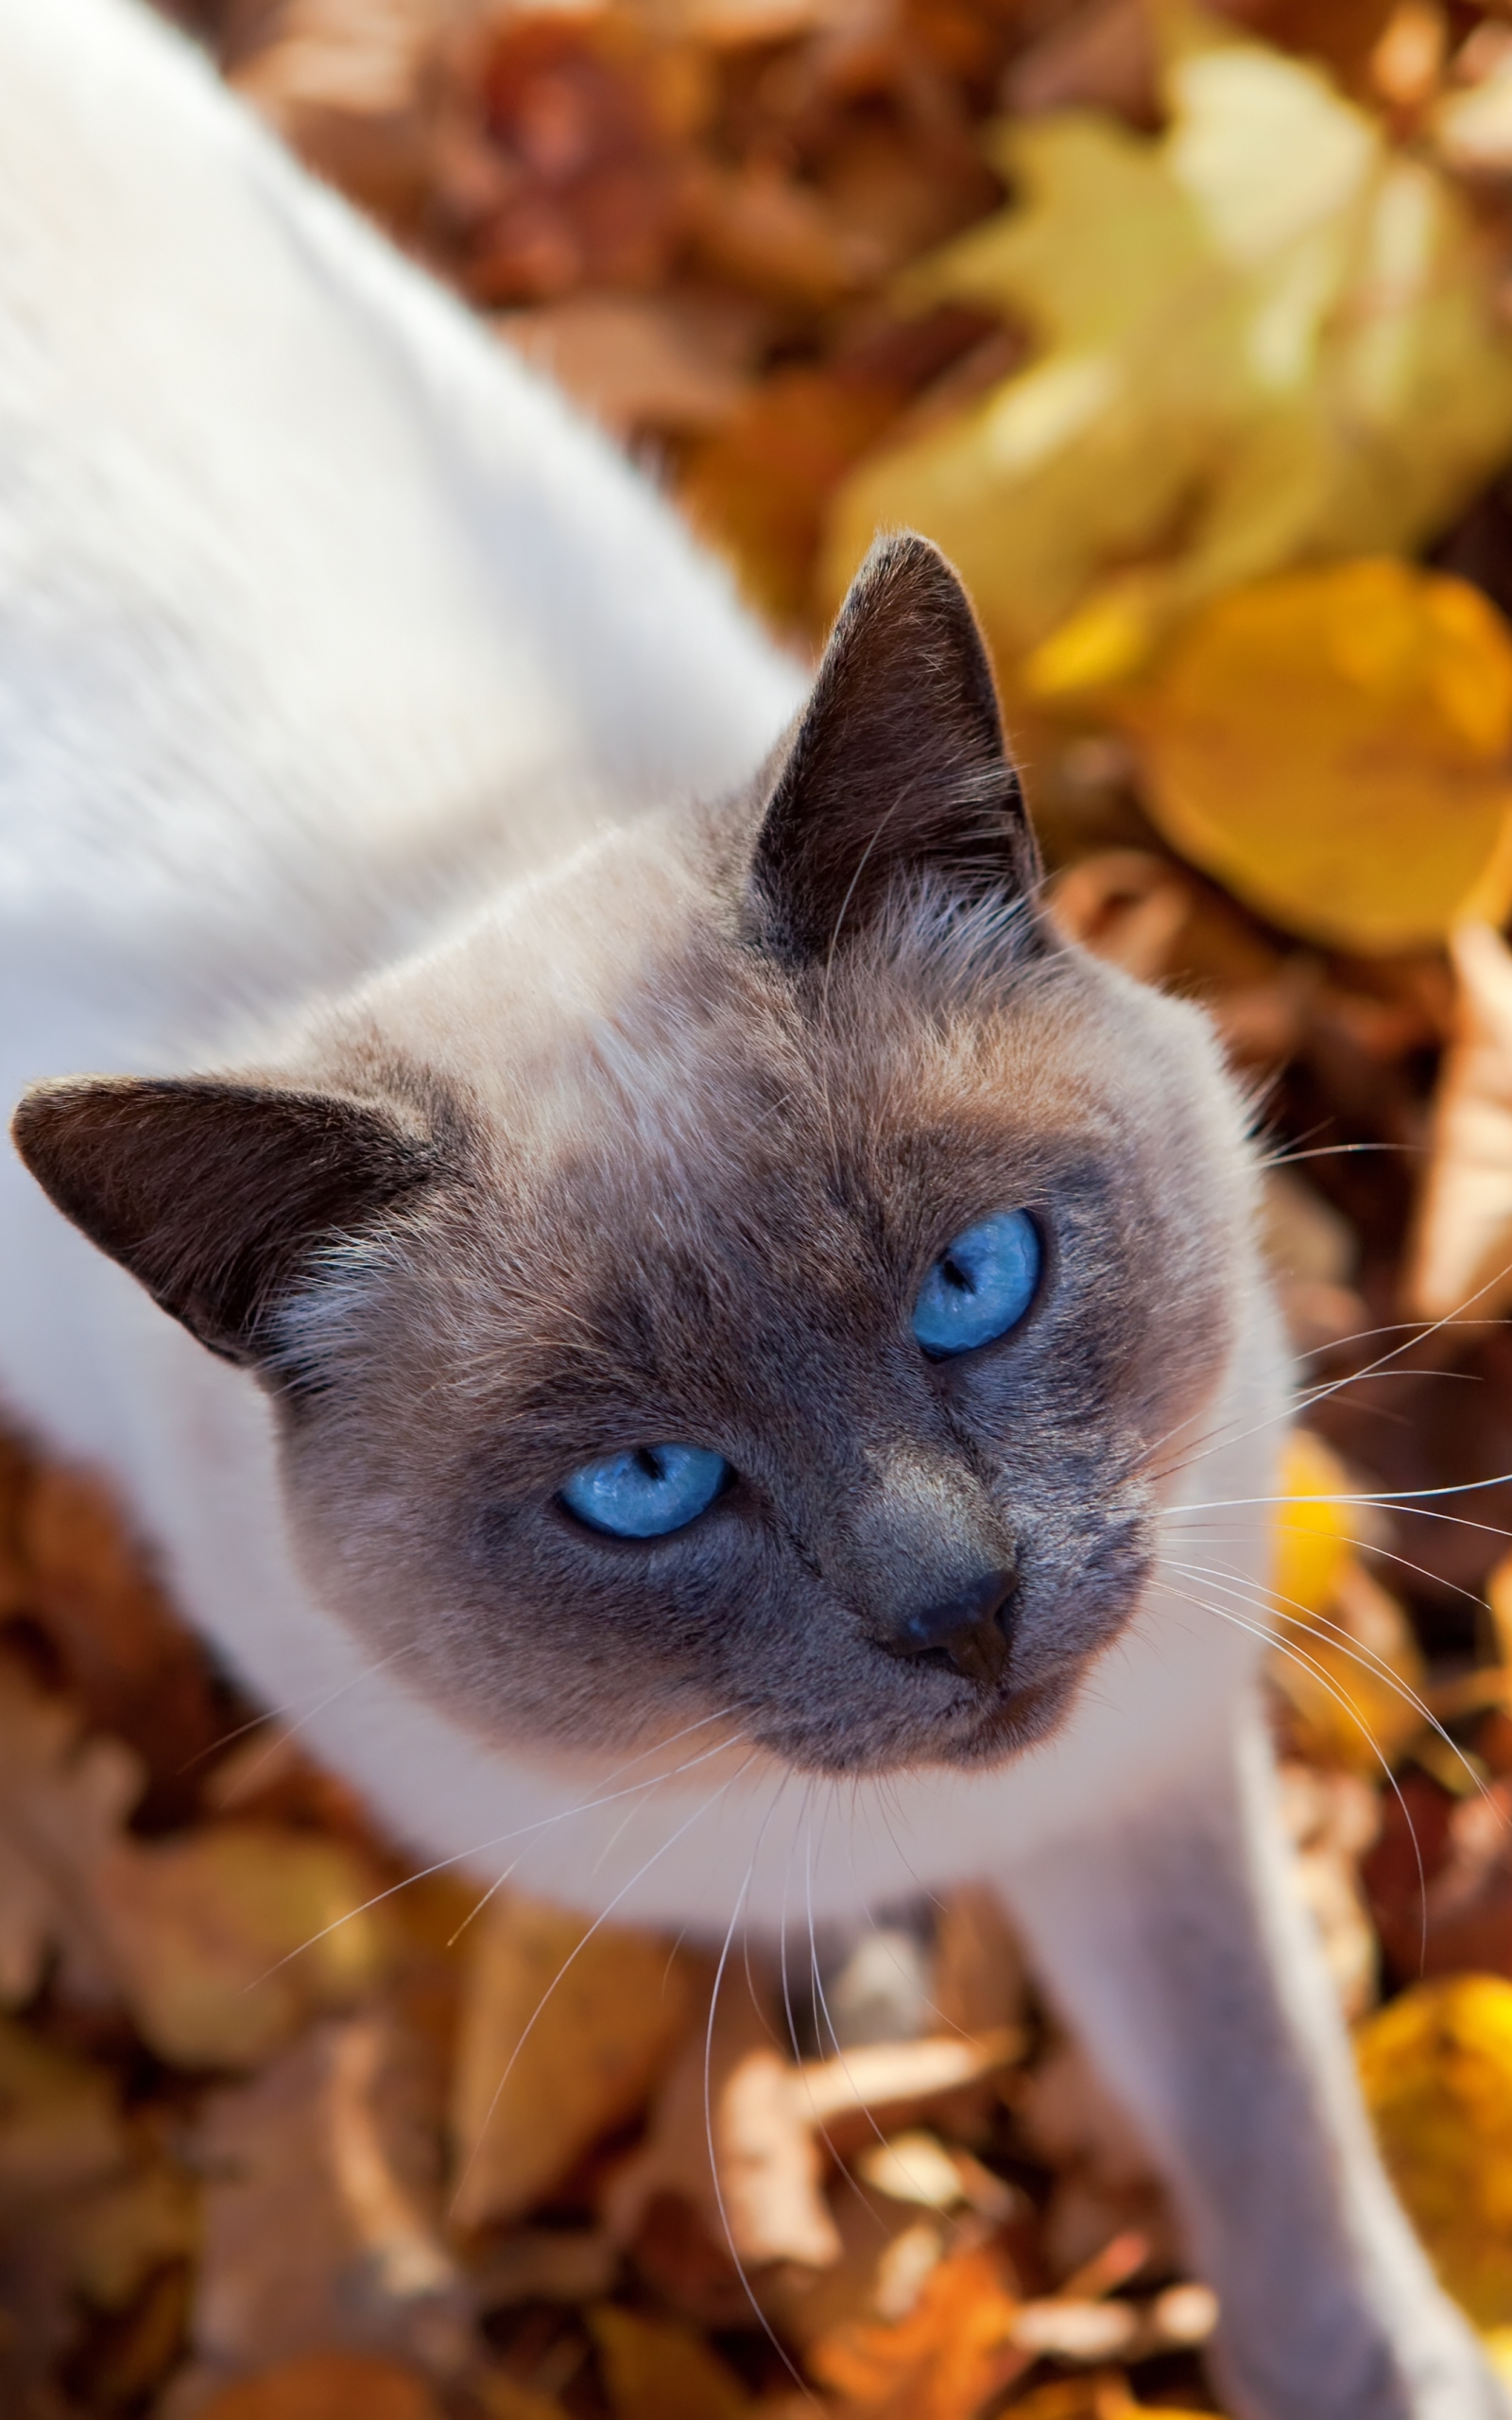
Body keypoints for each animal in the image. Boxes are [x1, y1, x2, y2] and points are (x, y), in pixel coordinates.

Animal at [0, 0, 1500, 2410]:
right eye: (642, 1487)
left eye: (975, 1282)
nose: (960, 1613)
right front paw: (863, 1968)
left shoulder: (1139, 1746)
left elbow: (1270, 2126)